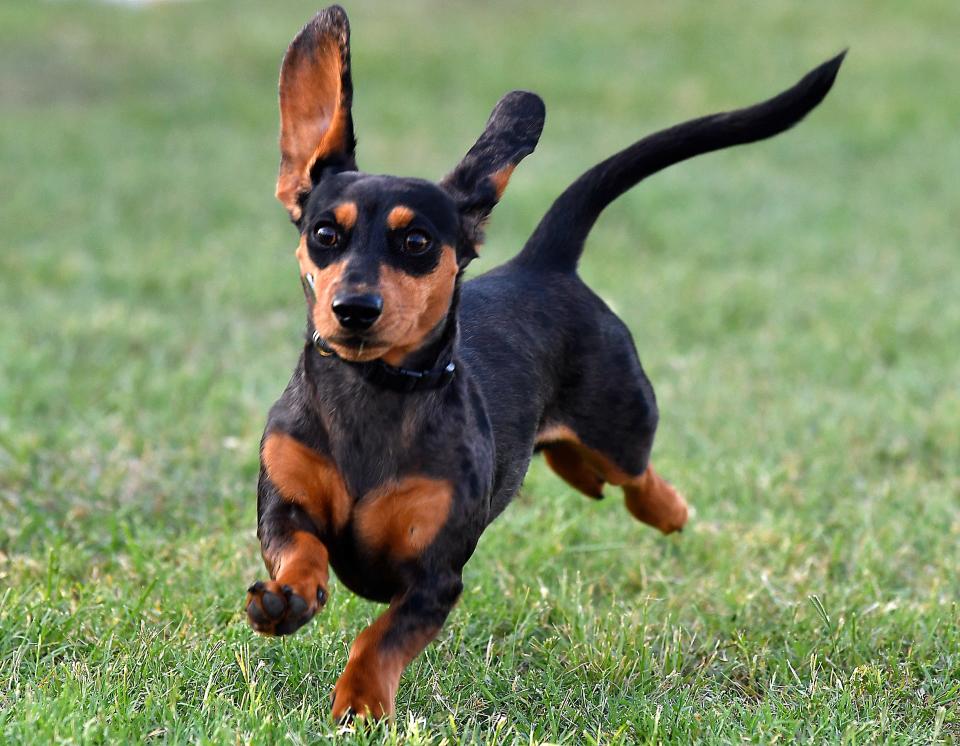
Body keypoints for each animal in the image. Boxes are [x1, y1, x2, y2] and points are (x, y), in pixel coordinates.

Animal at [244, 2, 844, 716]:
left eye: (417, 242)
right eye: (323, 234)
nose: (353, 308)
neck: (375, 390)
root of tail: (544, 262)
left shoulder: (435, 577)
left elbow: (380, 638)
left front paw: (361, 701)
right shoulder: (284, 504)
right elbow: (301, 549)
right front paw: (288, 599)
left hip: (622, 422)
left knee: (636, 476)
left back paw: (666, 508)